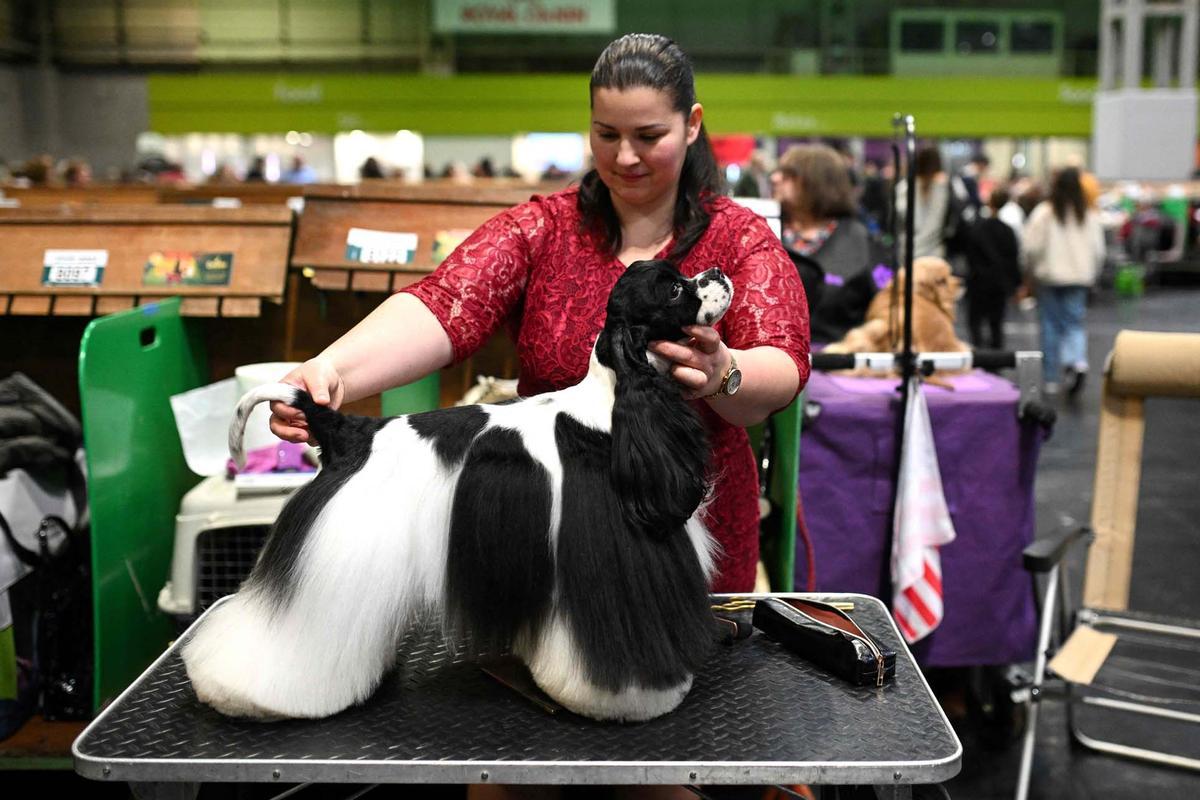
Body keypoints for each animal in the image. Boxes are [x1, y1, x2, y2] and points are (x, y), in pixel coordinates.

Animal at [183, 260, 734, 724]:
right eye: (675, 288)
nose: (718, 273)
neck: (612, 405)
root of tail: (347, 432)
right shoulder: (611, 558)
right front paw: (634, 699)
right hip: (330, 562)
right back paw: (244, 693)